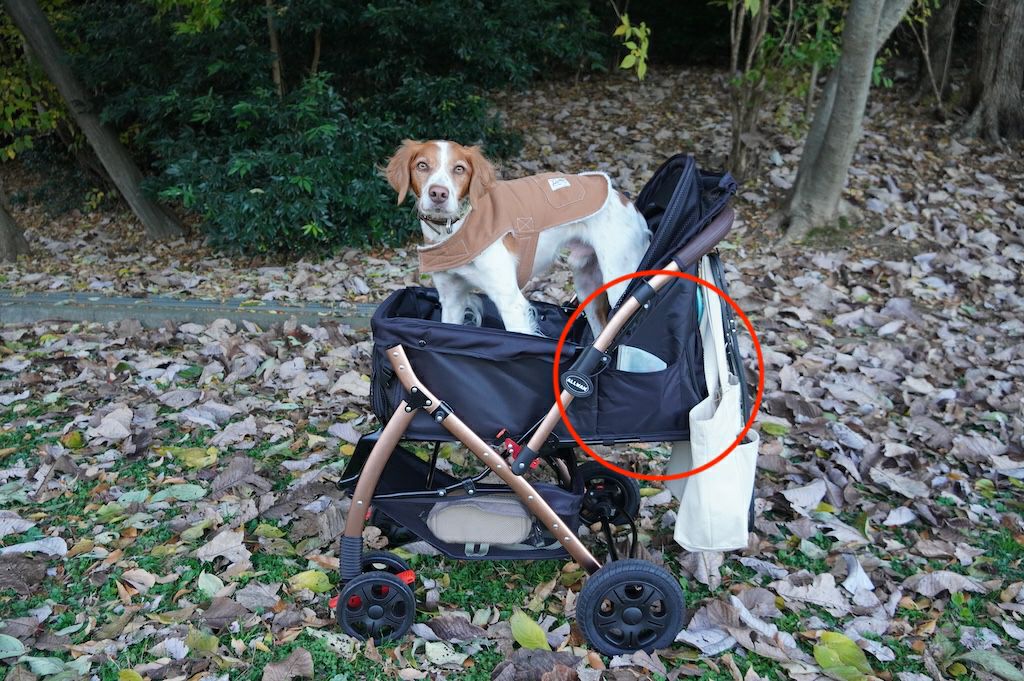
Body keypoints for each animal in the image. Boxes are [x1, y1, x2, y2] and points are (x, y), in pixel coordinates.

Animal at [385, 139, 650, 337]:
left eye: (459, 169)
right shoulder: (452, 299)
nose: (438, 194)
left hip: (620, 284)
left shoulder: (510, 302)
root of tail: (628, 203)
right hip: (587, 286)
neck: (459, 225)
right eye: (422, 165)